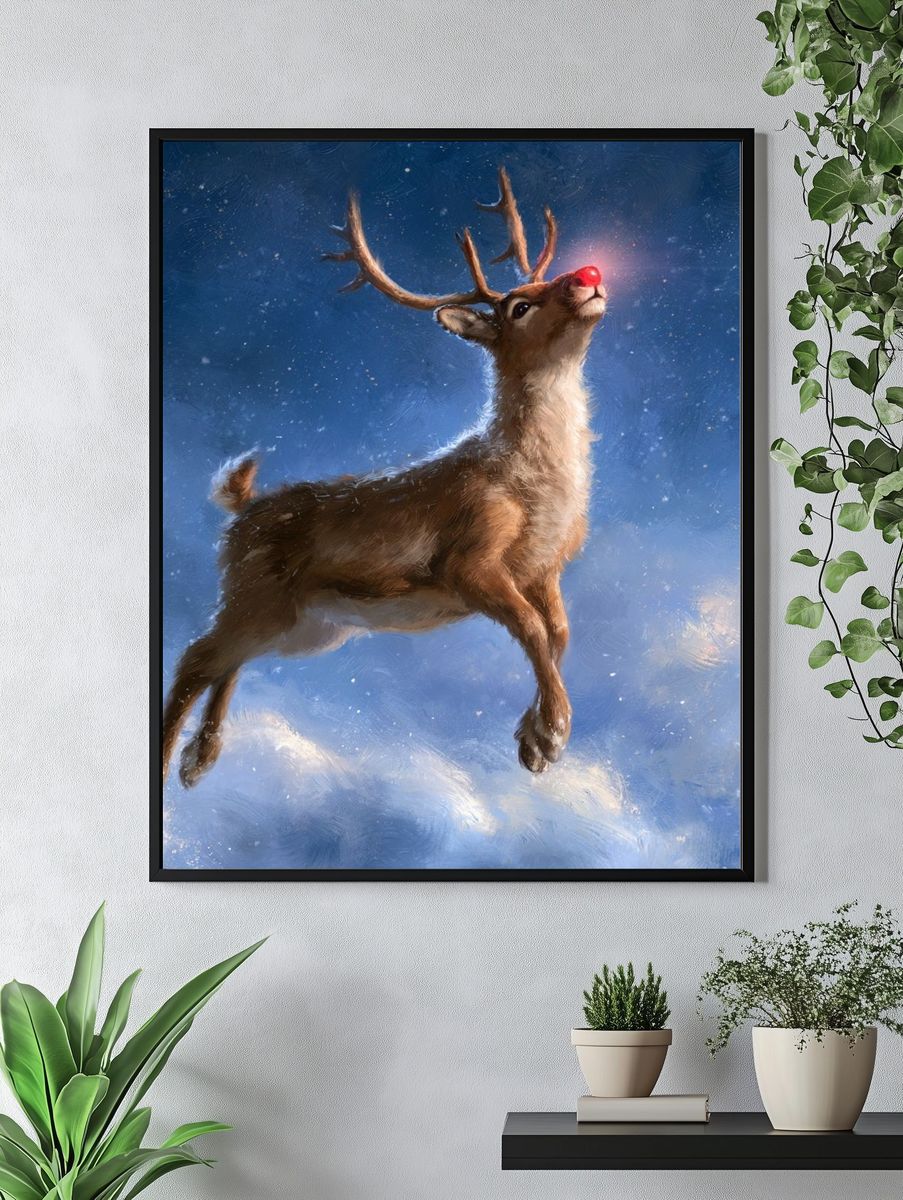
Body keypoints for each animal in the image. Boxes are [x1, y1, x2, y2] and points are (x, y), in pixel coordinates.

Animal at [162, 167, 608, 789]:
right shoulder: (469, 558)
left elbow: (561, 635)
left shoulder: (546, 570)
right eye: (520, 307)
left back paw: (199, 758)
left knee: (228, 660)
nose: (588, 275)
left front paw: (532, 738)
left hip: (307, 625)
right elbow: (534, 630)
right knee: (196, 657)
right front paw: (553, 735)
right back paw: (171, 764)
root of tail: (241, 510)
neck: (532, 487)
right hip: (258, 593)